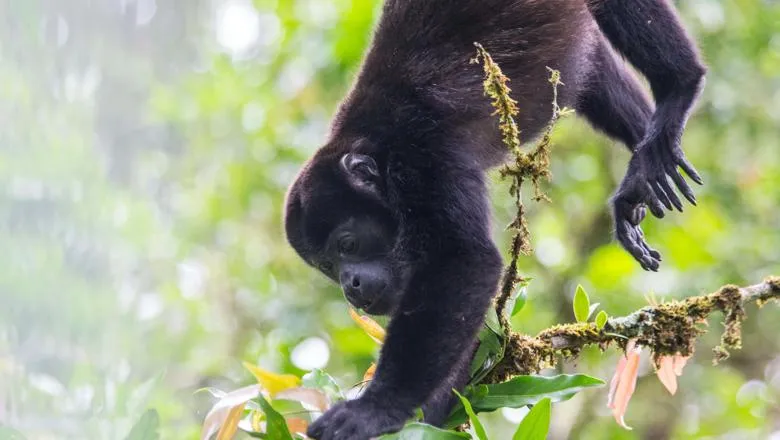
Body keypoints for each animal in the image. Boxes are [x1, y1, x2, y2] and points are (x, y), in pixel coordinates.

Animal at [284, 1, 708, 438]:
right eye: (327, 266)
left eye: (347, 244)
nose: (349, 286)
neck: (373, 148)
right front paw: (432, 416)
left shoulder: (424, 161)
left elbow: (467, 261)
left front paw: (376, 409)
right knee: (593, 68)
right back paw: (645, 155)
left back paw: (680, 85)